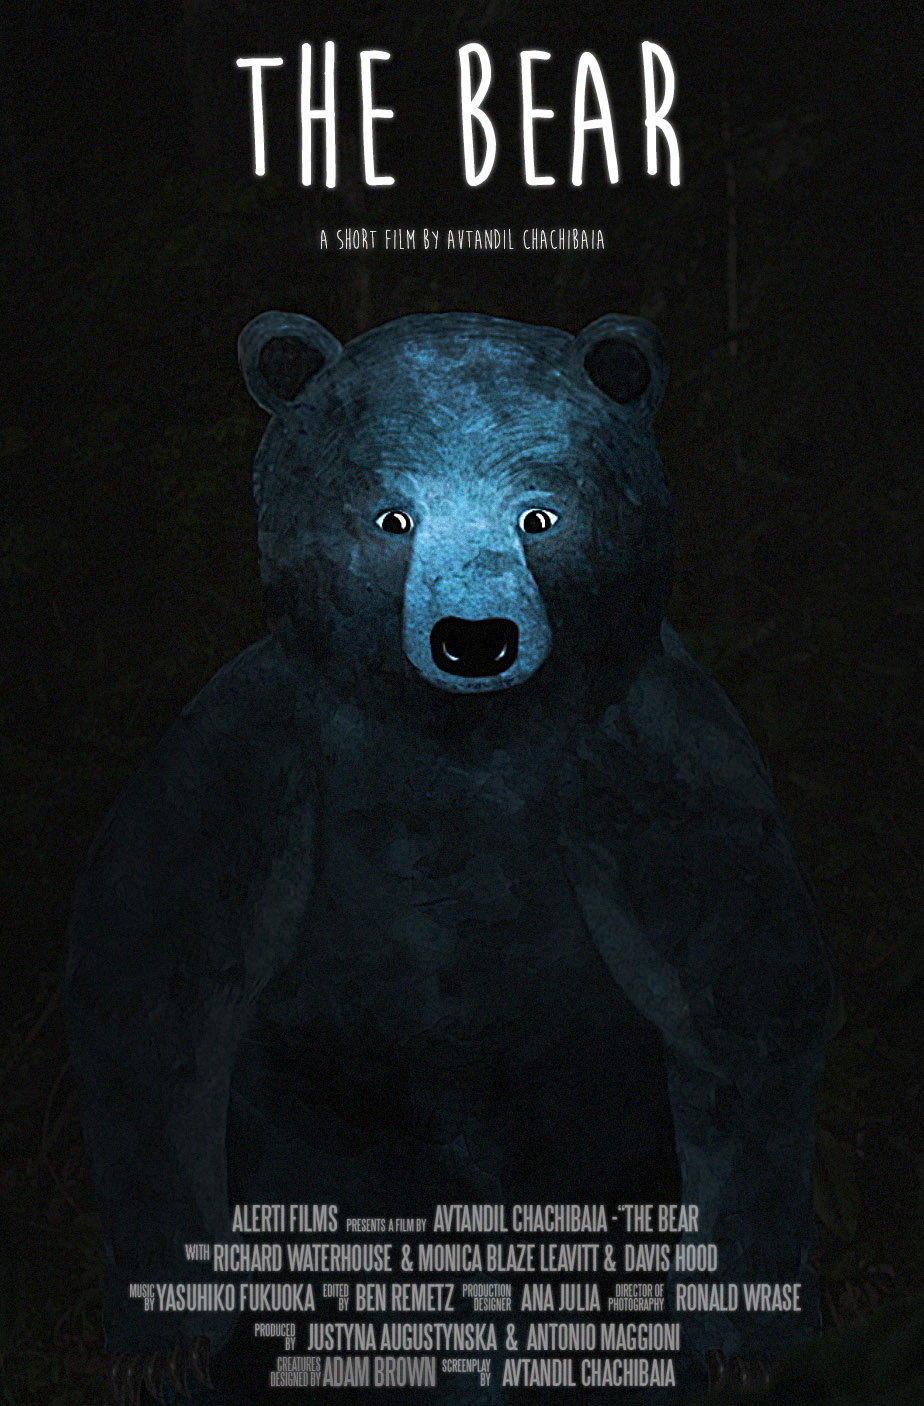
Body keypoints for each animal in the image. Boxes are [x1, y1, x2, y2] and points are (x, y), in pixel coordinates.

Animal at [65, 310, 833, 1405]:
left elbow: (744, 1000)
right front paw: (164, 1336)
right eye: (392, 516)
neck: (461, 741)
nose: (476, 637)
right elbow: (149, 993)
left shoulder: (648, 760)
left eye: (540, 515)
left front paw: (743, 1333)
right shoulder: (258, 757)